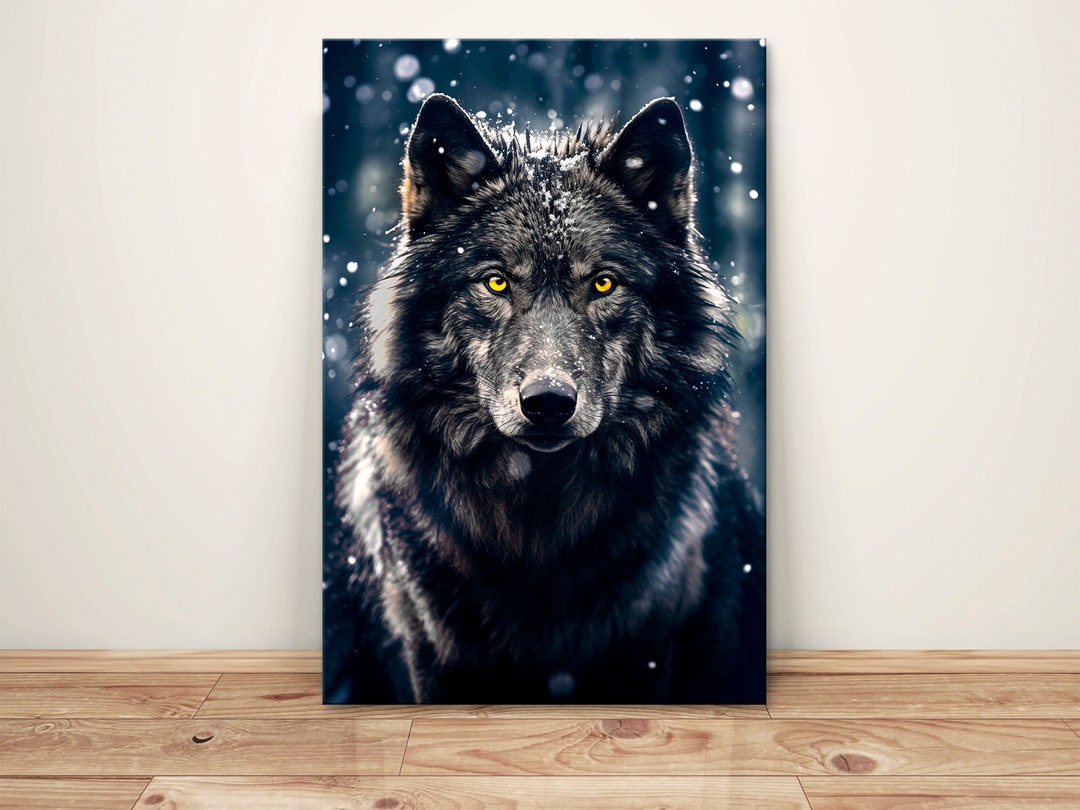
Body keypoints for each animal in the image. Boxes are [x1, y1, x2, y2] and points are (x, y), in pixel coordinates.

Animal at [323, 93, 764, 704]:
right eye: (496, 282)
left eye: (603, 283)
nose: (549, 402)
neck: (537, 526)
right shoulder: (434, 660)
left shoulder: (645, 658)